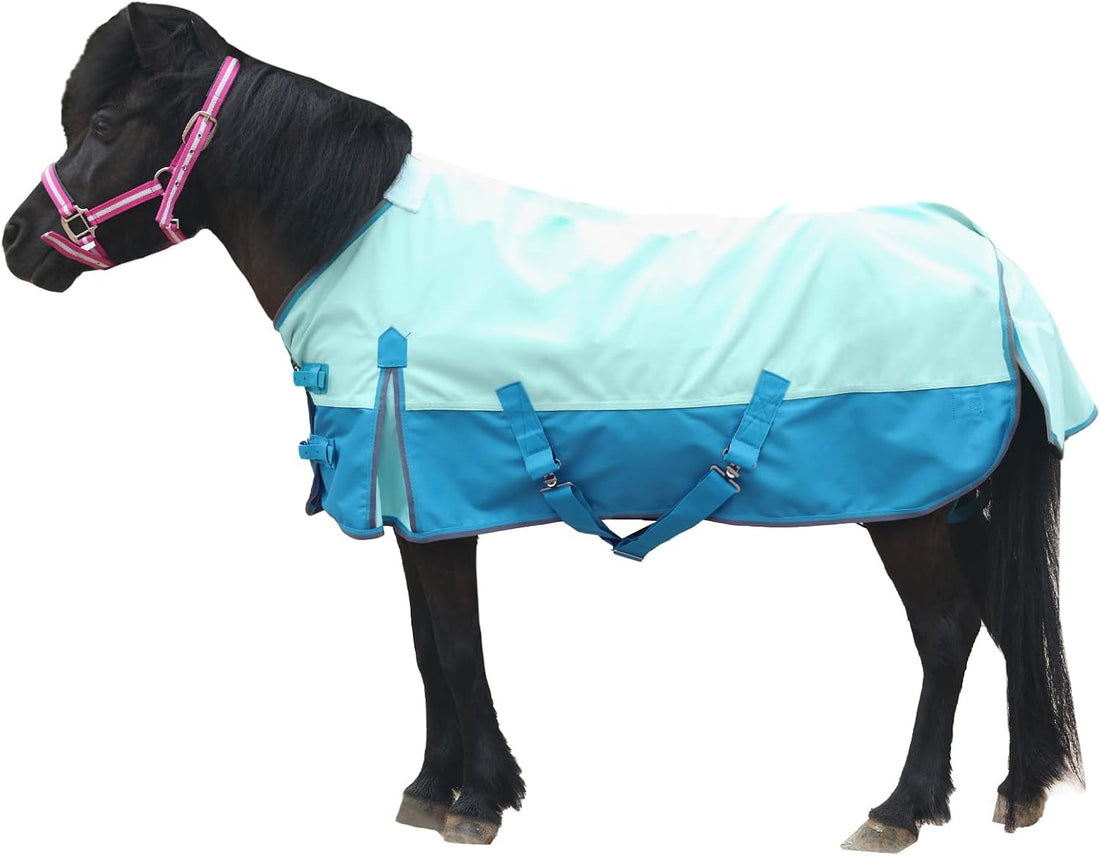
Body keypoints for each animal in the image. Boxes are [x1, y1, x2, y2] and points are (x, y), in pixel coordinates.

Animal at [2, 4, 1090, 851]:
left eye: (106, 120)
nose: (20, 245)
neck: (357, 245)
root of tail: (984, 260)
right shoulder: (418, 510)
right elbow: (426, 646)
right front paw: (432, 786)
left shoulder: (439, 505)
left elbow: (453, 643)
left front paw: (477, 798)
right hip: (956, 504)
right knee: (1002, 622)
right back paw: (1017, 790)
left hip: (908, 511)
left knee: (945, 631)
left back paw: (901, 806)